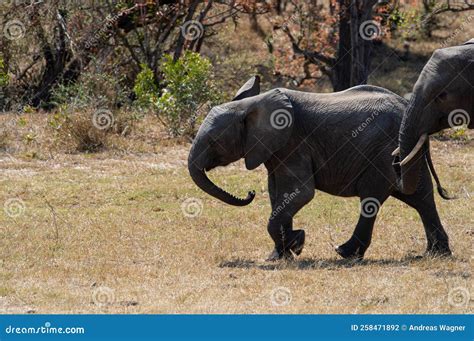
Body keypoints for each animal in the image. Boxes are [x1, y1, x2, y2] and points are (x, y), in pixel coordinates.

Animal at [188, 75, 452, 258]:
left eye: (213, 142)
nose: (249, 193)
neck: (252, 105)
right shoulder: (276, 149)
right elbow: (277, 194)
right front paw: (280, 254)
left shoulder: (294, 143)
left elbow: (301, 193)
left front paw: (297, 243)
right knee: (421, 197)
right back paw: (436, 254)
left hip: (383, 152)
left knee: (371, 198)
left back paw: (345, 253)